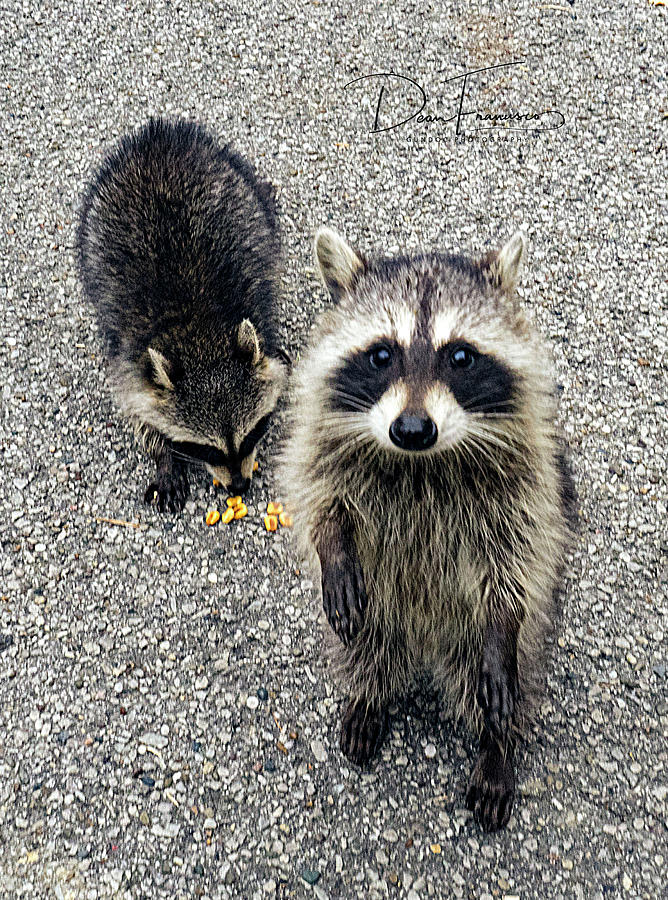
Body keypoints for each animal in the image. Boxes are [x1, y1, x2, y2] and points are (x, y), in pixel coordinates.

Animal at [77, 118, 288, 512]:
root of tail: (158, 136)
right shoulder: (130, 355)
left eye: (251, 433)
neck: (198, 331)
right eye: (205, 449)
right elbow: (137, 405)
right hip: (94, 229)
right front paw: (163, 457)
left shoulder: (258, 309)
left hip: (237, 189)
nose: (239, 488)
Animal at [280, 229, 576, 832]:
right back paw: (369, 694)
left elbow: (516, 556)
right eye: (381, 354)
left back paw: (496, 747)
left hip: (483, 639)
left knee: (498, 680)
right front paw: (332, 546)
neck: (420, 463)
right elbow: (319, 498)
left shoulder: (525, 476)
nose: (412, 429)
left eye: (459, 356)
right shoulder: (321, 432)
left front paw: (503, 626)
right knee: (365, 642)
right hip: (376, 609)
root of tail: (425, 643)